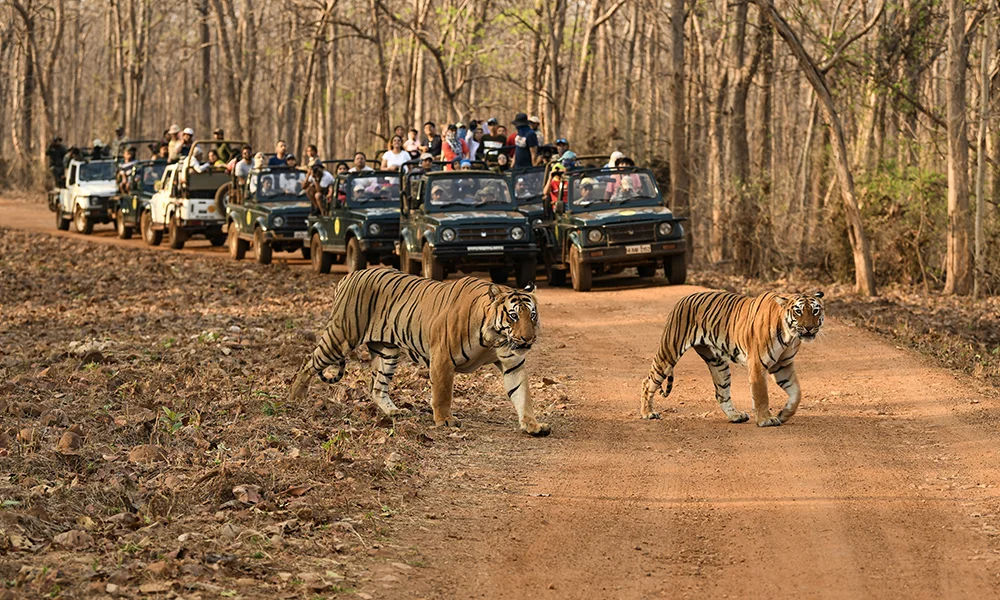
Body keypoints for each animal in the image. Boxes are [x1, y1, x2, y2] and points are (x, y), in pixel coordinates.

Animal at [288, 269, 551, 436]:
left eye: (532, 315)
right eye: (513, 315)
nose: (528, 339)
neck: (493, 338)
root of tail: (349, 276)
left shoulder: (512, 362)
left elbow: (522, 395)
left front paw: (533, 425)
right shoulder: (442, 357)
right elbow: (442, 393)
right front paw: (445, 420)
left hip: (387, 352)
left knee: (377, 387)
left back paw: (395, 412)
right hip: (341, 337)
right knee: (308, 362)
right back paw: (295, 398)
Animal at [640, 290, 825, 427]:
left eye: (815, 310)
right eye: (798, 311)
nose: (809, 328)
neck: (790, 337)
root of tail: (683, 299)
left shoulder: (783, 366)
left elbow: (796, 393)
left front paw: (784, 414)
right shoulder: (757, 364)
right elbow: (761, 394)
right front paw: (765, 419)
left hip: (717, 363)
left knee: (721, 393)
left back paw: (736, 416)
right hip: (669, 351)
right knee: (648, 381)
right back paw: (647, 413)